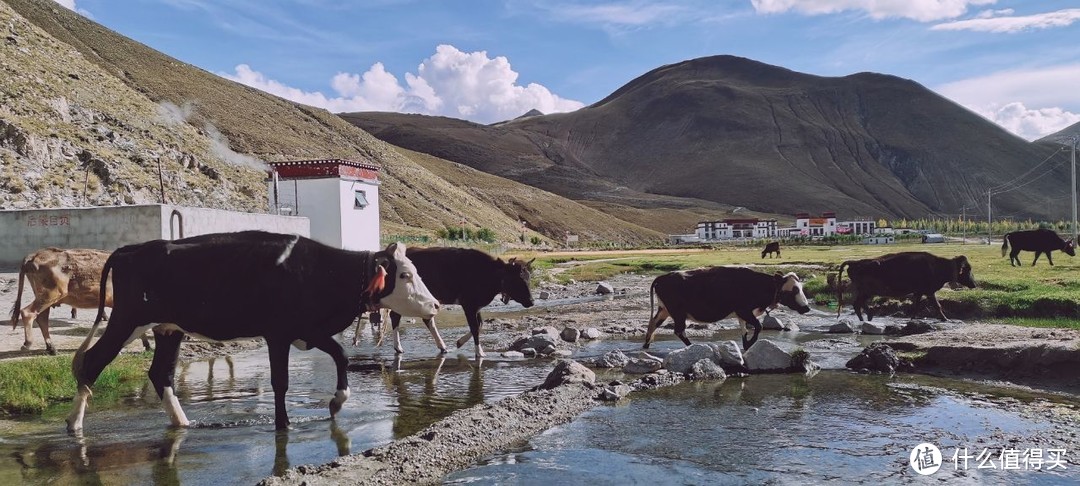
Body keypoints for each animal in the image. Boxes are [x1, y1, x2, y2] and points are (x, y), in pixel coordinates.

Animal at [9, 248, 150, 354]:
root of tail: (35, 255)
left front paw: (147, 345)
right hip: (51, 294)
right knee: (28, 313)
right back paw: (28, 344)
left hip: (45, 297)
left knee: (42, 319)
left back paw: (51, 348)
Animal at [66, 231, 438, 432]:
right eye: (405, 275)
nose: (434, 305)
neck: (319, 271)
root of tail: (132, 249)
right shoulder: (279, 332)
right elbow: (280, 382)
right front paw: (283, 424)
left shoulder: (307, 329)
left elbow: (341, 354)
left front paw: (337, 402)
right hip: (127, 320)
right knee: (92, 362)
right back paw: (75, 424)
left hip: (168, 328)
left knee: (161, 374)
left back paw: (182, 423)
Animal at [639, 267, 812, 352]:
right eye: (793, 290)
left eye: (801, 287)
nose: (807, 307)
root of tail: (662, 277)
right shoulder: (744, 311)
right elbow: (758, 326)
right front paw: (751, 343)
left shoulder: (742, 315)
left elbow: (745, 331)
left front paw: (747, 345)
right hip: (678, 313)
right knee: (678, 330)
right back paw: (691, 345)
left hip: (664, 310)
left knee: (653, 324)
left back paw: (646, 346)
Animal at [833, 250, 980, 321]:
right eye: (967, 269)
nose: (974, 284)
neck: (937, 266)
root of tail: (855, 262)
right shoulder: (929, 292)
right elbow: (937, 306)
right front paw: (945, 319)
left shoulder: (919, 292)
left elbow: (916, 306)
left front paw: (912, 318)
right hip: (866, 291)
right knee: (857, 304)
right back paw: (867, 318)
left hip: (866, 292)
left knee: (858, 304)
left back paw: (868, 317)